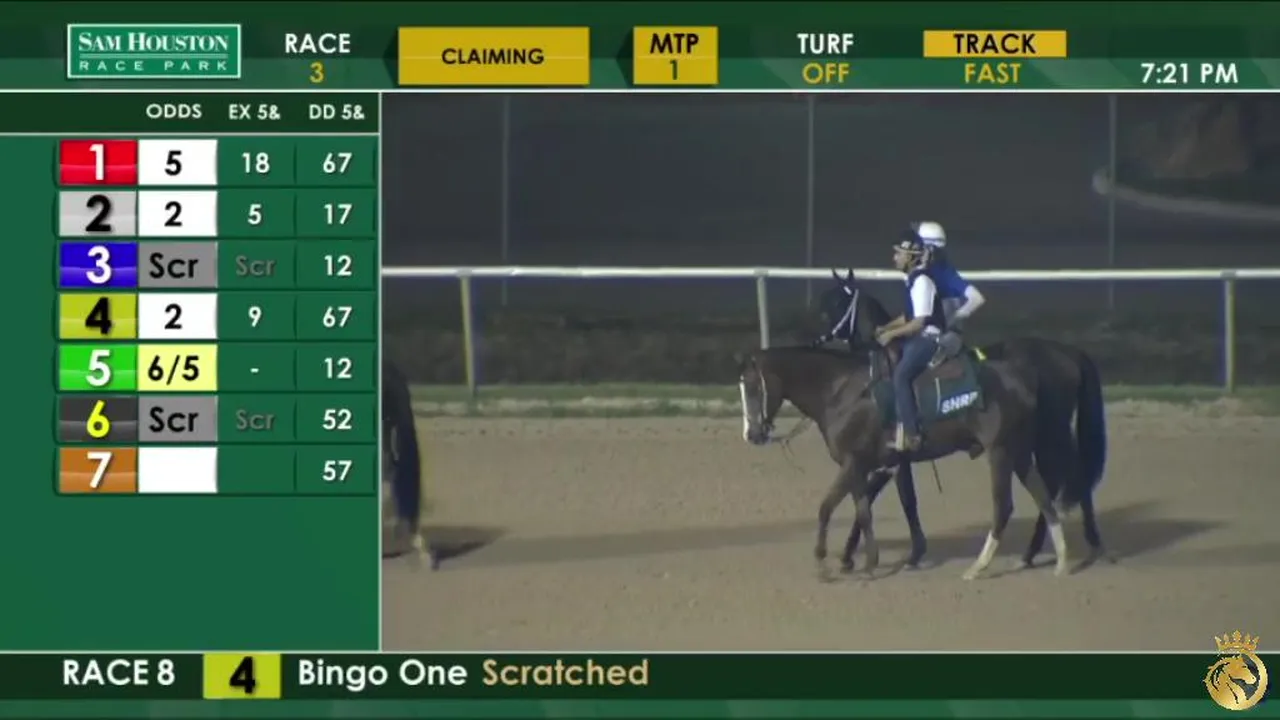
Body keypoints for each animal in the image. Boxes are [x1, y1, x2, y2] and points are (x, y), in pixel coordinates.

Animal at [737, 340, 1074, 581]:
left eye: (753, 387)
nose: (752, 434)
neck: (842, 391)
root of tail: (1021, 378)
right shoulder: (865, 466)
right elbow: (859, 509)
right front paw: (860, 560)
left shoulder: (853, 462)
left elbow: (834, 508)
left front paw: (833, 563)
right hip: (1019, 452)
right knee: (1044, 497)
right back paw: (1059, 560)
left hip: (1000, 451)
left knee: (1003, 506)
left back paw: (978, 566)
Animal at [818, 269, 1109, 571]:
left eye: (836, 303)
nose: (819, 339)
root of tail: (1071, 353)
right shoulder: (896, 458)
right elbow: (898, 498)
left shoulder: (890, 454)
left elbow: (890, 498)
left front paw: (855, 554)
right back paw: (1053, 549)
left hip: (1050, 432)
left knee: (1068, 475)